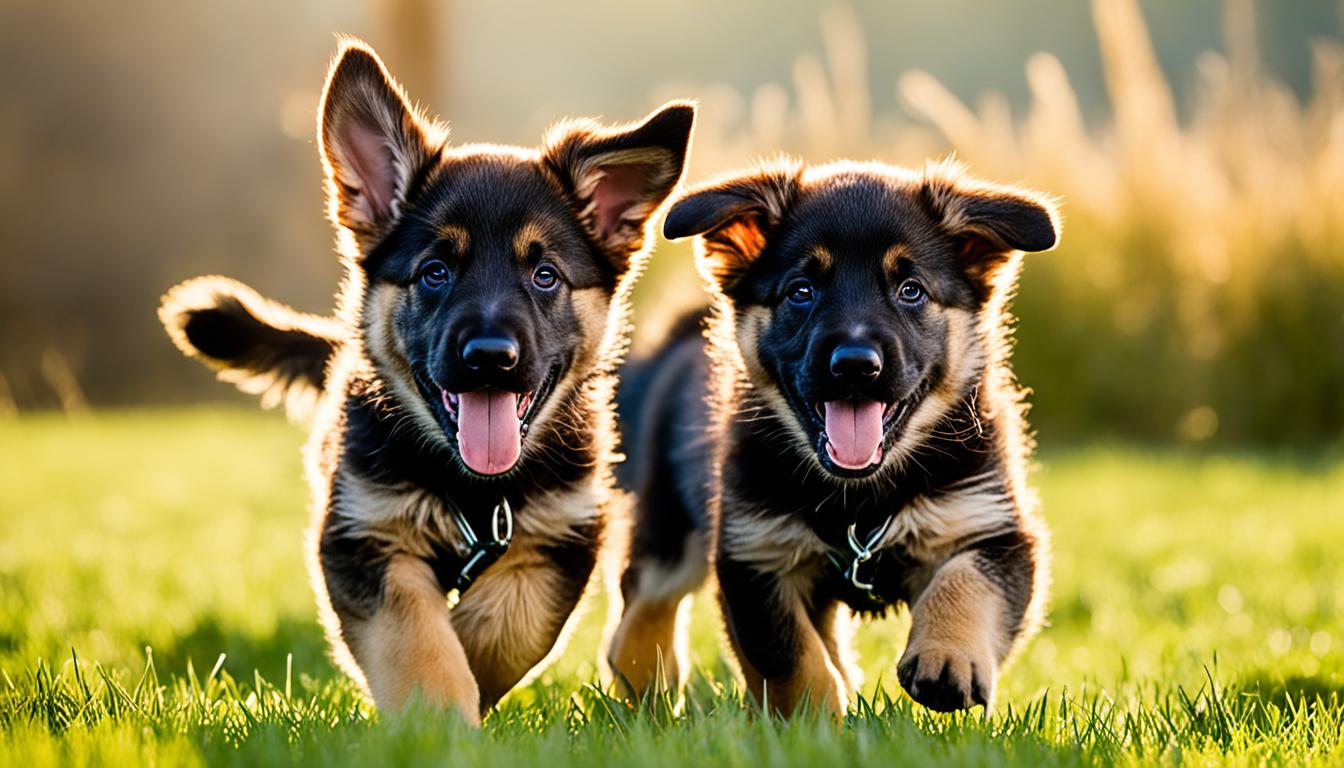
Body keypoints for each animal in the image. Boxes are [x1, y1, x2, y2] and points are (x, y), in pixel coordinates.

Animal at [159, 40, 693, 726]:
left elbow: (505, 626)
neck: (471, 489)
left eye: (545, 274)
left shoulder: (563, 534)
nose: (490, 358)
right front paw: (436, 719)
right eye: (435, 271)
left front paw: (465, 679)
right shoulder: (366, 534)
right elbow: (416, 634)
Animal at [610, 159, 1059, 720]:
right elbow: (789, 656)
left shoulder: (991, 527)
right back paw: (644, 674)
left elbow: (966, 584)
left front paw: (947, 659)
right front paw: (814, 720)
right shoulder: (753, 554)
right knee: (647, 592)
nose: (855, 366)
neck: (861, 498)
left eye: (911, 290)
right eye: (801, 291)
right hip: (670, 518)